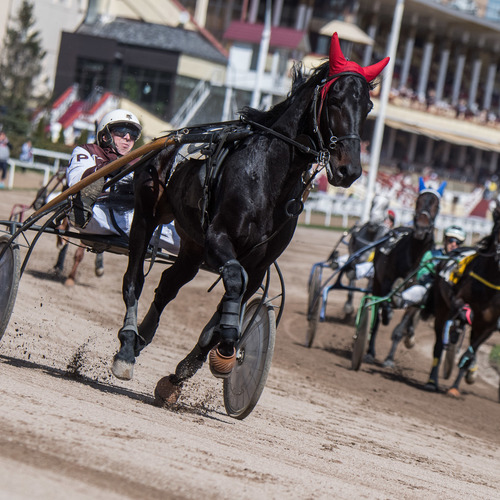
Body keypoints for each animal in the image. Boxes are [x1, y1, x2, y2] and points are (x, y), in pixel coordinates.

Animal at [110, 33, 390, 398]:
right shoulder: (219, 238)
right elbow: (232, 280)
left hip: (192, 246)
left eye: (367, 107)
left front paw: (185, 370)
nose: (349, 170)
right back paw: (127, 348)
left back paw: (144, 335)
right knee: (134, 280)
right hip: (147, 214)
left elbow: (234, 297)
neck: (267, 175)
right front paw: (229, 344)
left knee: (169, 284)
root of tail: (169, 138)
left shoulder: (258, 264)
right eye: (336, 99)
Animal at [364, 180, 446, 364]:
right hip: (376, 282)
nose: (421, 228)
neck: (414, 257)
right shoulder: (386, 281)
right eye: (417, 201)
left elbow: (402, 326)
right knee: (377, 317)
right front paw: (387, 314)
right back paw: (370, 350)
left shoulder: (420, 291)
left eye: (436, 205)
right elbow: (384, 305)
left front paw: (389, 358)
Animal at [426, 201, 500, 396]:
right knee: (438, 344)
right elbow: (464, 309)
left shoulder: (489, 324)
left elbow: (471, 352)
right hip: (441, 308)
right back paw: (432, 380)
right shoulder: (456, 299)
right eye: (499, 228)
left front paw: (456, 385)